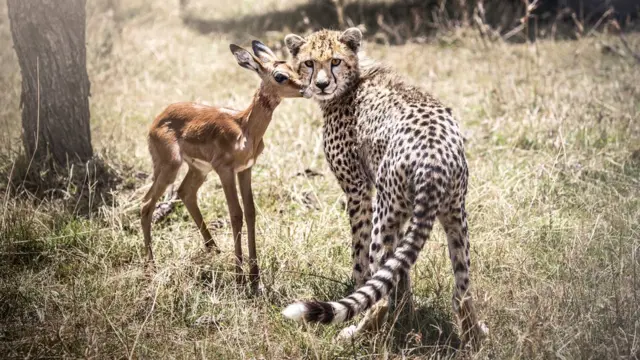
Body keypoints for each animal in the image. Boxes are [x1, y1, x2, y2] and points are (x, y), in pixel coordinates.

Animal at [282, 26, 488, 344]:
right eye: (309, 63)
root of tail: (434, 157)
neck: (353, 81)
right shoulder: (403, 214)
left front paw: (367, 295)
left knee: (378, 295)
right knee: (462, 290)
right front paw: (407, 311)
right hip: (454, 215)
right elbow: (399, 269)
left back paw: (354, 332)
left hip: (385, 210)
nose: (322, 84)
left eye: (335, 61)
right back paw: (474, 336)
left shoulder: (358, 190)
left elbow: (362, 259)